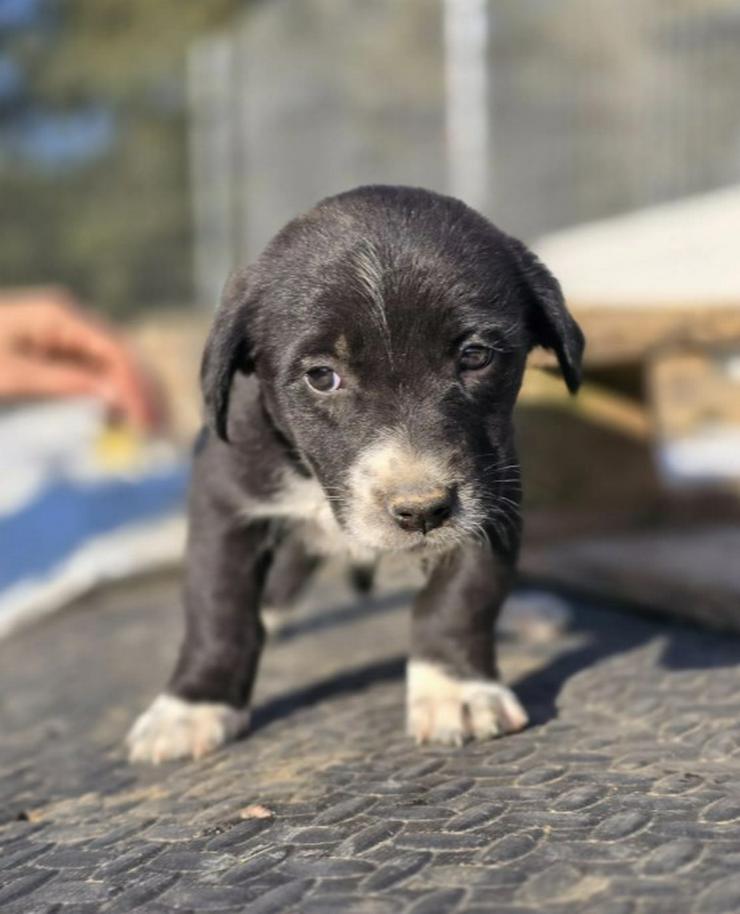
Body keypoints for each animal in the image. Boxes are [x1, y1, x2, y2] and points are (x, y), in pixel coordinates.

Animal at [127, 182, 584, 760]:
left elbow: (462, 596)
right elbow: (220, 608)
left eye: (476, 355)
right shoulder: (224, 499)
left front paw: (456, 690)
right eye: (322, 376)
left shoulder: (492, 491)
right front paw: (192, 707)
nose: (421, 512)